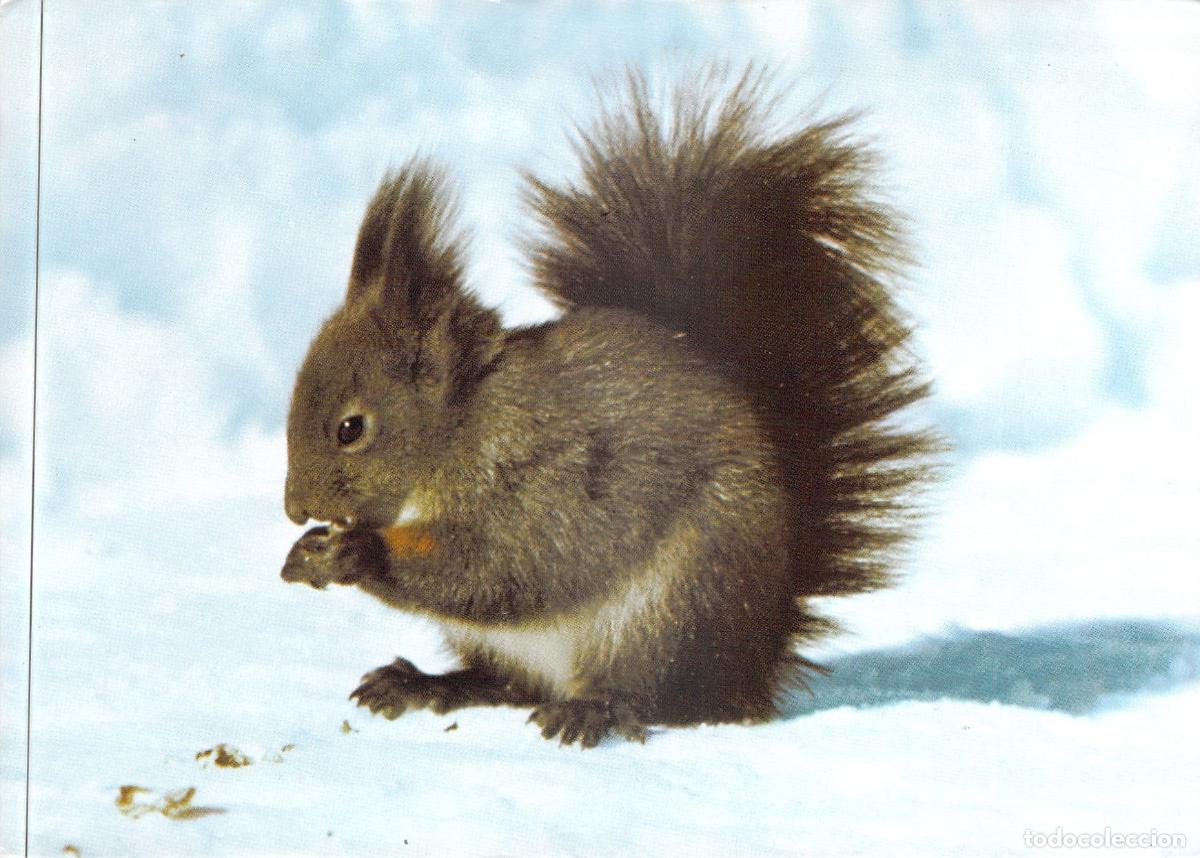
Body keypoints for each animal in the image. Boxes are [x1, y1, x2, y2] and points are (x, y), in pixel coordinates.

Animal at [280, 67, 934, 748]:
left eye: (350, 428)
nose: (295, 509)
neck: (467, 424)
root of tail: (751, 666)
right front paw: (309, 553)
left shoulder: (545, 486)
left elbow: (499, 569)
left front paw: (357, 554)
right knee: (507, 684)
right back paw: (424, 684)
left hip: (670, 610)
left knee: (651, 695)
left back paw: (593, 709)